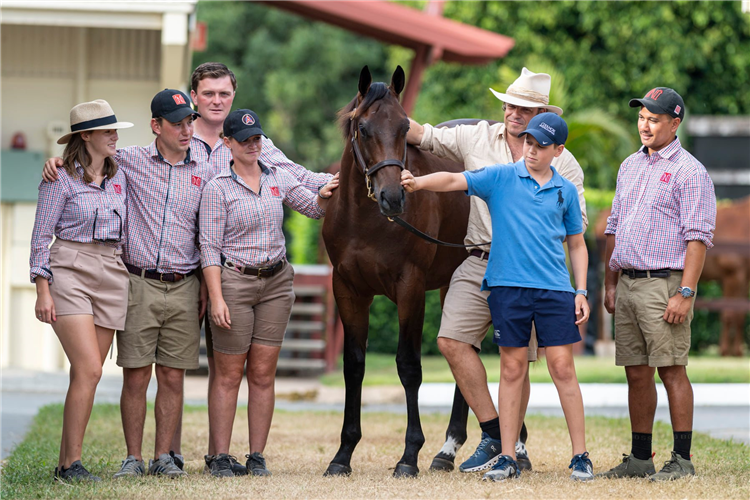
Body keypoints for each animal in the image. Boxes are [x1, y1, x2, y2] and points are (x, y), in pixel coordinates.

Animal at [322, 67, 472, 476]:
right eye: (363, 128)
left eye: (405, 127)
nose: (393, 197)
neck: (365, 219)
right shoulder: (348, 290)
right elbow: (354, 365)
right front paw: (343, 454)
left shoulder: (411, 288)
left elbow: (409, 366)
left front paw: (409, 455)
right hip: (453, 285)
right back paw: (451, 448)